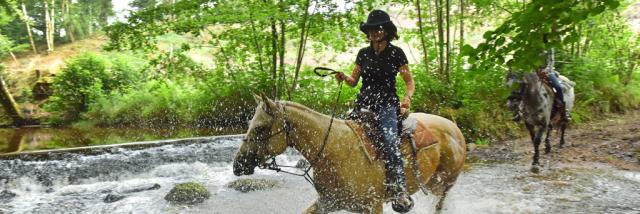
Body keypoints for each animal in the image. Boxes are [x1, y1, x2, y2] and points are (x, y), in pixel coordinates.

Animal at [234, 95, 464, 214]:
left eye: (260, 128)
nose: (238, 164)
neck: (334, 151)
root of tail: (454, 127)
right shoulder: (328, 202)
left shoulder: (372, 207)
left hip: (444, 183)